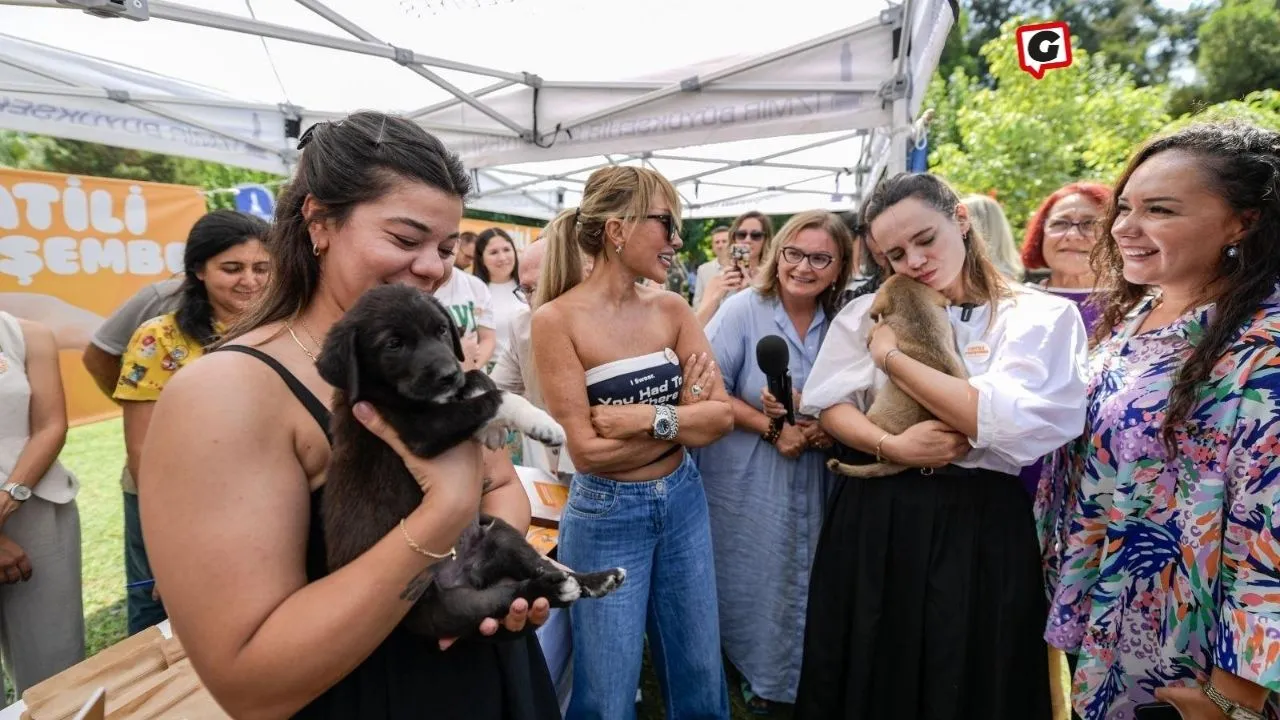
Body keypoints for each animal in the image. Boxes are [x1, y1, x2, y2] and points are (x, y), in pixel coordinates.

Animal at [314, 283, 624, 635]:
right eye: (393, 344)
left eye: (441, 329)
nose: (449, 376)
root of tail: (470, 572)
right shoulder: (420, 431)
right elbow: (498, 397)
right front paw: (542, 424)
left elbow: (477, 375)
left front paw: (491, 423)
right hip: (453, 607)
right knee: (513, 593)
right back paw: (554, 589)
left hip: (499, 533)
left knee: (541, 565)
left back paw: (595, 579)